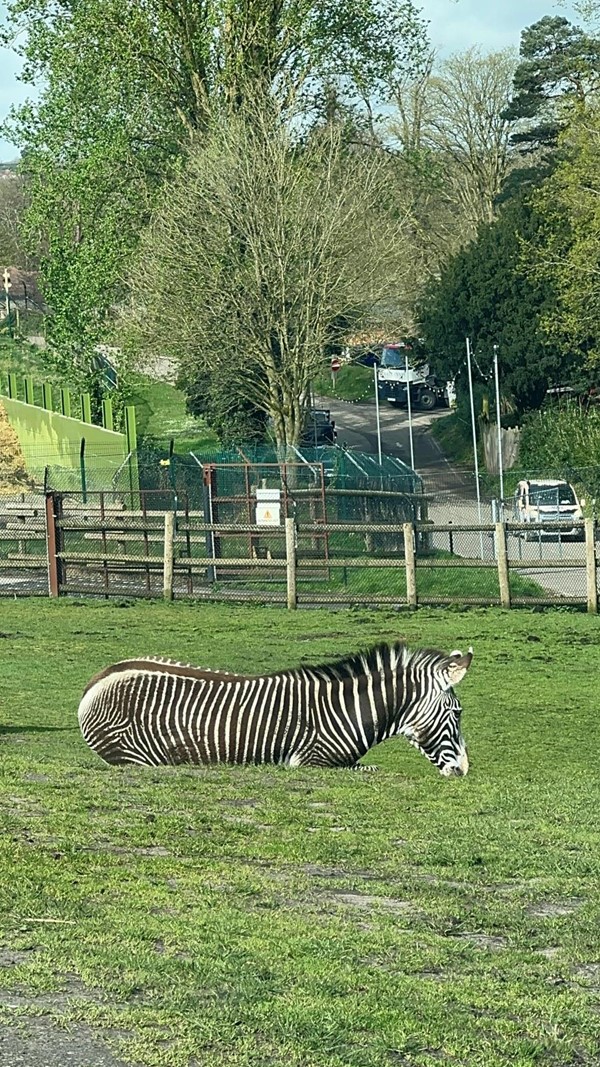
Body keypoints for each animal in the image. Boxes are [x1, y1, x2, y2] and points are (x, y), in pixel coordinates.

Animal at [78, 640, 471, 776]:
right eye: (457, 713)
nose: (464, 770)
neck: (346, 710)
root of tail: (93, 684)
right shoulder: (311, 761)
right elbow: (371, 770)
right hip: (134, 756)